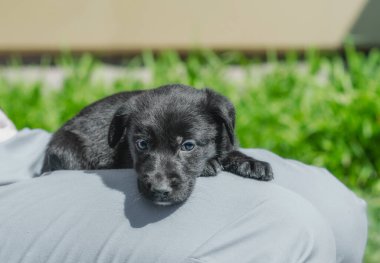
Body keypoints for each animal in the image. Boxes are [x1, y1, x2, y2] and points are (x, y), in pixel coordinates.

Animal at [41, 84, 274, 206]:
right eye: (142, 144)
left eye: (188, 145)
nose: (160, 191)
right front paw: (209, 165)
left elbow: (228, 149)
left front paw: (250, 163)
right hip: (66, 149)